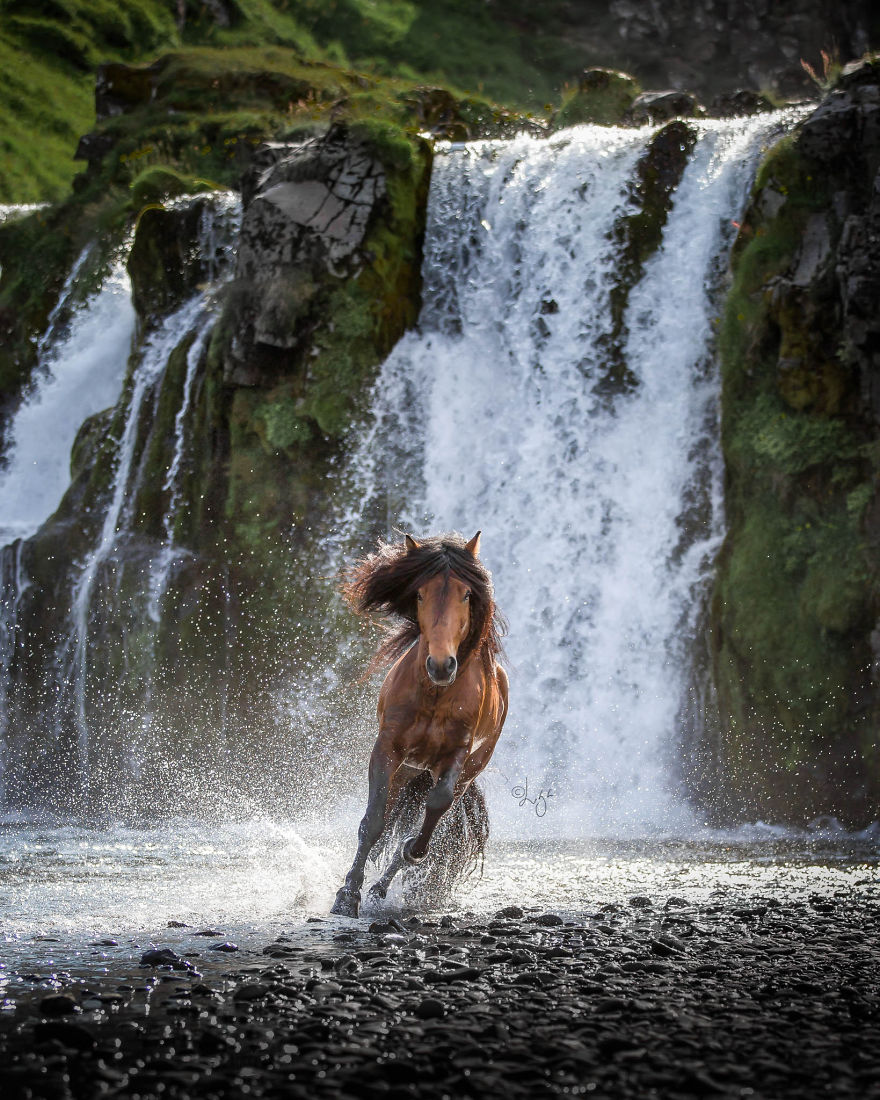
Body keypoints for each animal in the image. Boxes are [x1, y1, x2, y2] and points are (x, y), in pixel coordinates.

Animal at [330, 532, 508, 919]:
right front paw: (346, 897)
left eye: (466, 594)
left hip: (461, 773)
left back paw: (383, 886)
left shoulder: (456, 757)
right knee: (386, 820)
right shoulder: (387, 750)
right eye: (420, 593)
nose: (441, 665)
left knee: (430, 821)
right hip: (407, 771)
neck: (435, 695)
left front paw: (411, 851)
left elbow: (433, 811)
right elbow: (373, 823)